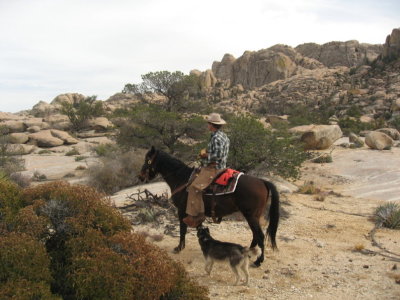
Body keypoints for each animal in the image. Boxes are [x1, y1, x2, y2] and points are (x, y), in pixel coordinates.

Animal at [139, 146, 280, 266]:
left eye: (147, 160)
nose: (140, 177)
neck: (182, 178)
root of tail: (262, 181)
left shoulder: (182, 211)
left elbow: (182, 230)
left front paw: (179, 248)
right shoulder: (196, 214)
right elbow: (199, 229)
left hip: (251, 216)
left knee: (260, 236)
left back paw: (258, 261)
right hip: (252, 216)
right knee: (255, 235)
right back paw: (248, 254)